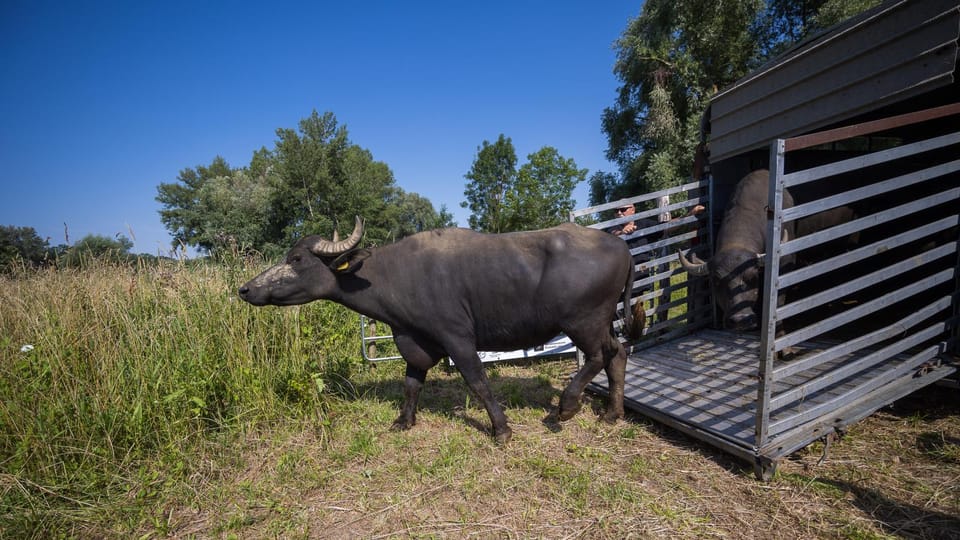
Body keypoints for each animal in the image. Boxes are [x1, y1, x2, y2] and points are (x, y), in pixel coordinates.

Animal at [238, 217, 636, 446]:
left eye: (297, 259)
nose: (245, 289)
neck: (395, 275)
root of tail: (621, 246)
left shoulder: (456, 339)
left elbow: (478, 382)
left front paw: (501, 429)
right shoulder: (414, 340)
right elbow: (412, 384)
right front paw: (403, 421)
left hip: (583, 322)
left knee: (597, 356)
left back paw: (565, 408)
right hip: (601, 322)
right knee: (618, 354)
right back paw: (612, 413)